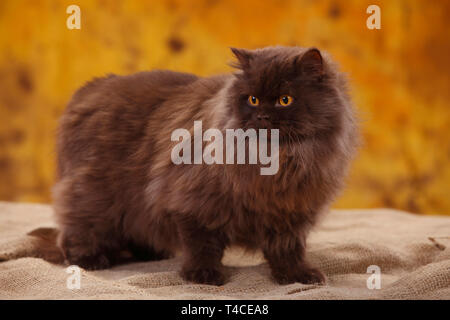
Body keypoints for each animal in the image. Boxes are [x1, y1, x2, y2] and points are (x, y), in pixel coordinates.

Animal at [52, 45, 358, 284]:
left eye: (285, 100)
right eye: (253, 99)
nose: (261, 116)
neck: (278, 163)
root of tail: (90, 88)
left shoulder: (291, 213)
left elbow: (287, 251)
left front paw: (296, 276)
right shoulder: (193, 205)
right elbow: (203, 246)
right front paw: (203, 275)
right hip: (95, 197)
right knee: (77, 230)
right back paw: (91, 260)